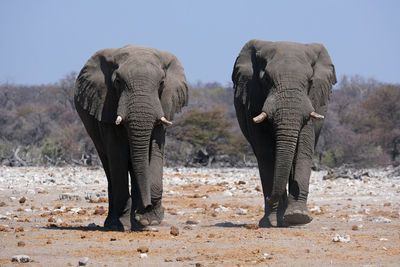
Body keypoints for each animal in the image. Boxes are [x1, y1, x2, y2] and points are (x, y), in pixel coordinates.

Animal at [74, 45, 188, 231]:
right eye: (118, 82)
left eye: (162, 83)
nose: (146, 206)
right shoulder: (106, 105)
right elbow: (117, 156)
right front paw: (124, 224)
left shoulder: (163, 106)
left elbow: (155, 153)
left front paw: (148, 220)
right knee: (110, 168)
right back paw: (114, 224)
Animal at [231, 40, 338, 228]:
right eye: (266, 79)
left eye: (310, 81)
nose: (268, 197)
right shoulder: (253, 99)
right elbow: (267, 154)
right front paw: (270, 222)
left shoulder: (311, 103)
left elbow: (302, 149)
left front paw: (298, 217)